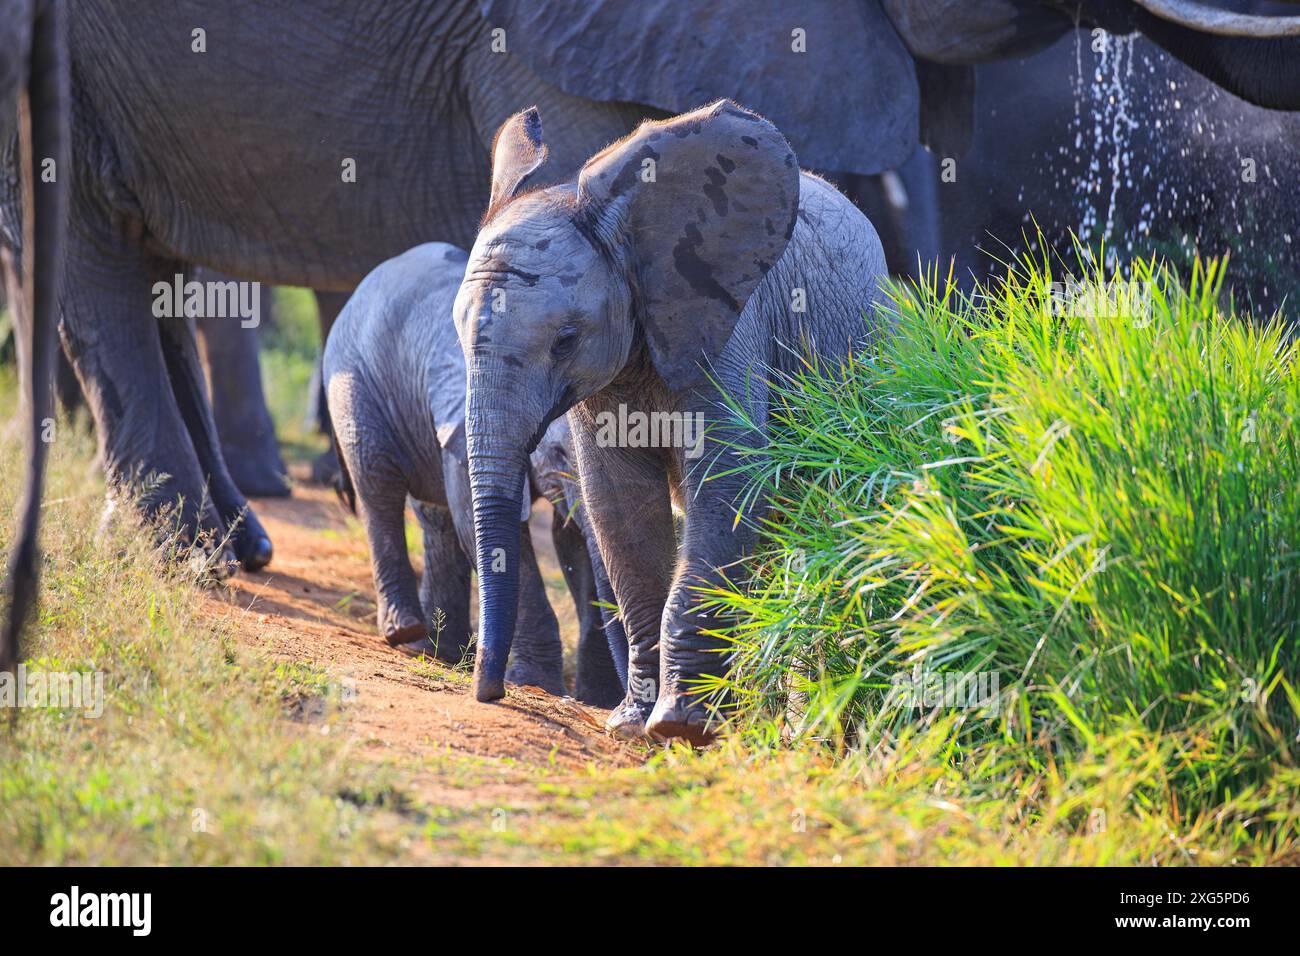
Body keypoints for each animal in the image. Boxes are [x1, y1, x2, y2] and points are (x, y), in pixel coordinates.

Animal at [325, 243, 629, 707]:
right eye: (560, 453)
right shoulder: (463, 417)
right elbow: (484, 525)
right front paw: (538, 684)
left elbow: (572, 543)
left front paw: (598, 700)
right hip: (354, 384)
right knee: (377, 485)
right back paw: (406, 633)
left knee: (435, 517)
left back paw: (442, 652)